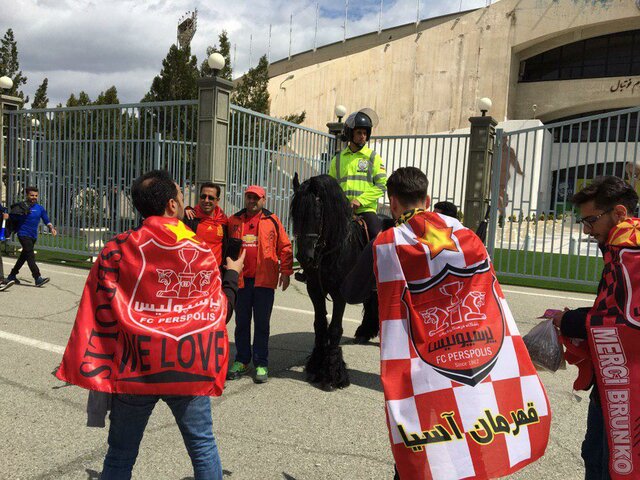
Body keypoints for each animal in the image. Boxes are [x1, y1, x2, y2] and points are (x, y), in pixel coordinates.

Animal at [292, 173, 378, 390]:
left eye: (317, 214)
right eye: (295, 213)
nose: (304, 257)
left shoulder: (340, 294)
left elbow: (335, 329)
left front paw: (332, 375)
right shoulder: (315, 290)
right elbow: (320, 325)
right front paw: (315, 367)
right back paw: (365, 333)